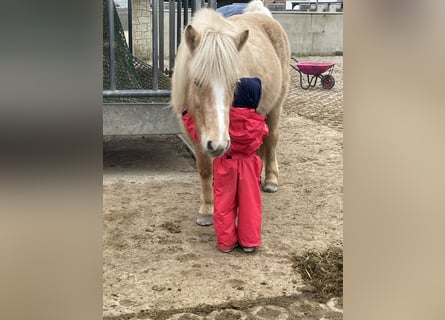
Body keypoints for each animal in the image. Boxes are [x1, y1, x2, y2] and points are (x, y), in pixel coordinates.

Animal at [171, 3, 292, 226]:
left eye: (234, 83)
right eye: (197, 81)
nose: (217, 144)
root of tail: (263, 14)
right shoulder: (196, 133)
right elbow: (205, 168)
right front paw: (207, 210)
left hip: (276, 106)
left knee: (271, 139)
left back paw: (271, 179)